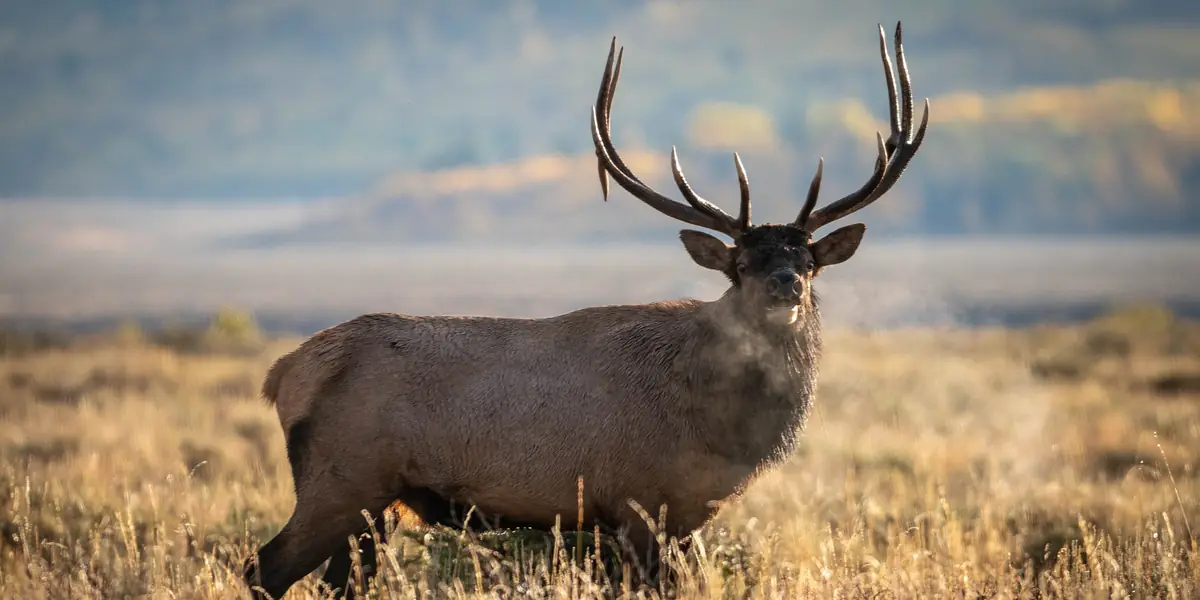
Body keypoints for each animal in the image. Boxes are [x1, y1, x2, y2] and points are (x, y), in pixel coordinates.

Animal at [242, 22, 928, 600]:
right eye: (741, 264)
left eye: (809, 262)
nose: (785, 284)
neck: (719, 435)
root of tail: (283, 374)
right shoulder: (635, 503)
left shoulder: (669, 520)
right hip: (339, 480)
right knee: (263, 568)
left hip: (370, 506)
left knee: (337, 581)